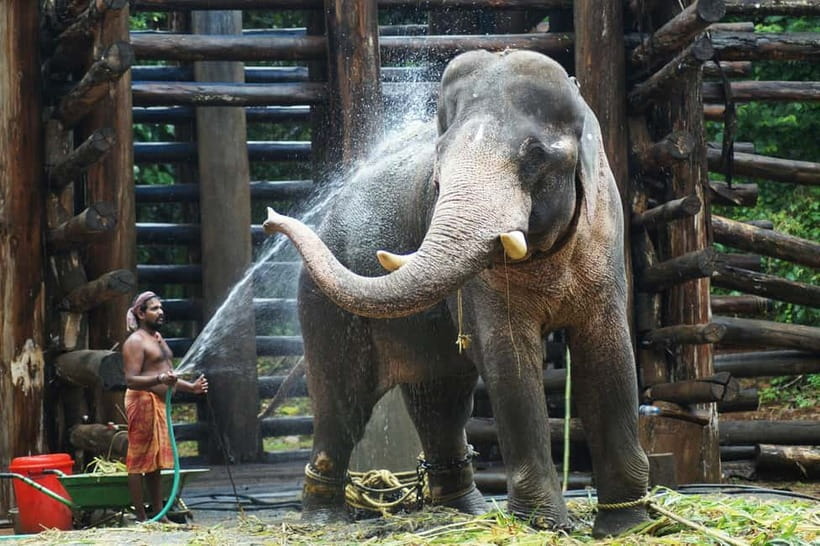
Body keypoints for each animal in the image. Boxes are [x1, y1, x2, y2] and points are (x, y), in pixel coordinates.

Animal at [263, 49, 650, 537]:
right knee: (342, 401)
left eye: (535, 155)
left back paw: (465, 511)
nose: (270, 219)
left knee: (441, 397)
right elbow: (510, 359)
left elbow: (610, 355)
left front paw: (630, 526)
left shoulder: (606, 235)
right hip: (321, 304)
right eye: (438, 163)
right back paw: (322, 519)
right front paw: (545, 526)